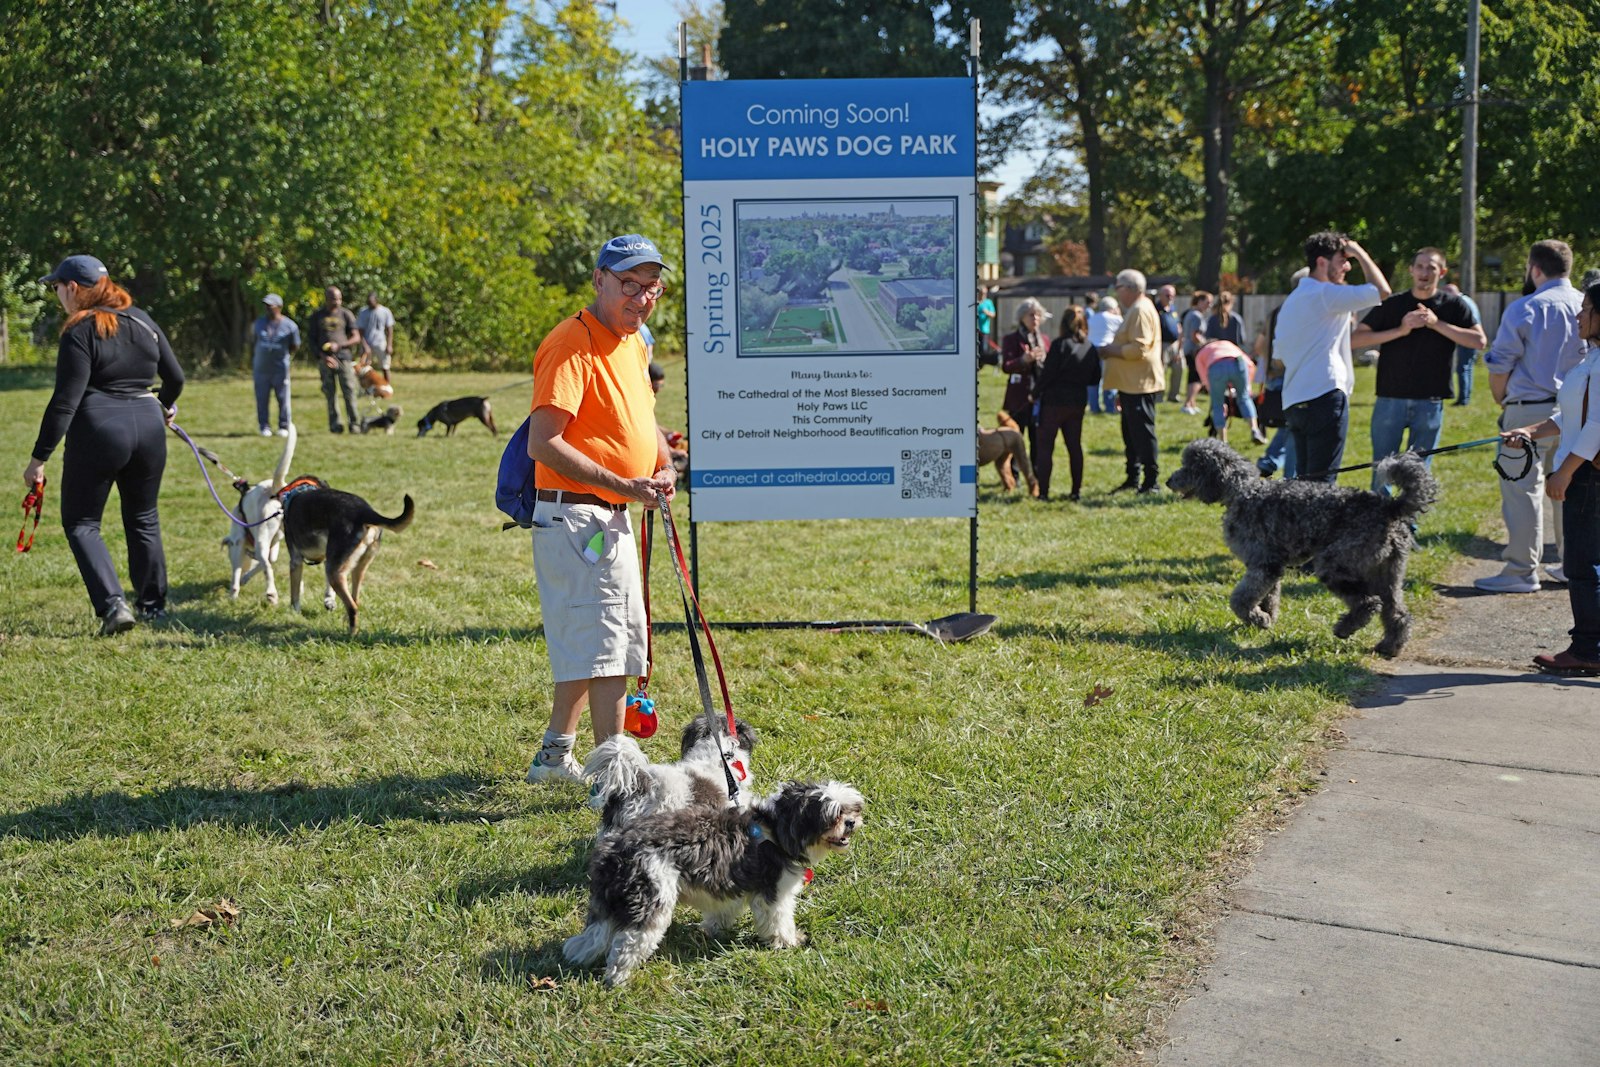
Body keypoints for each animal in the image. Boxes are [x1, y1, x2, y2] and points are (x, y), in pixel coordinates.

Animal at [222, 425, 297, 607]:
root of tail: (275, 490)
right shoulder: (273, 547)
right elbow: (266, 562)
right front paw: (245, 578)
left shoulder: (238, 543)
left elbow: (237, 573)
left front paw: (233, 594)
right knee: (267, 563)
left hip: (262, 537)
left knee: (267, 567)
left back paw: (271, 594)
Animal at [281, 483, 419, 633]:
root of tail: (365, 512)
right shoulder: (328, 559)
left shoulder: (296, 561)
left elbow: (294, 593)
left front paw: (294, 612)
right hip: (357, 569)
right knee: (355, 601)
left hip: (334, 573)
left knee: (352, 607)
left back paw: (350, 634)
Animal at [563, 780, 864, 991]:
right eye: (834, 815)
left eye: (851, 809)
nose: (851, 823)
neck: (777, 829)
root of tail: (615, 850)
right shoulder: (774, 893)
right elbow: (779, 921)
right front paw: (788, 942)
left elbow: (722, 911)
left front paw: (713, 930)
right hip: (651, 901)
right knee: (625, 946)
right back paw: (619, 980)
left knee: (590, 939)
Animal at [1164, 435, 1440, 655]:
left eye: (1188, 466)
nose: (1168, 481)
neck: (1242, 492)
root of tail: (1390, 507)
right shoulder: (1271, 567)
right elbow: (1269, 597)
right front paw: (1266, 618)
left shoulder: (1263, 565)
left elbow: (1240, 600)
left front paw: (1258, 619)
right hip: (1388, 572)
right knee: (1397, 612)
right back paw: (1389, 646)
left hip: (1335, 564)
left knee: (1369, 603)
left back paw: (1344, 629)